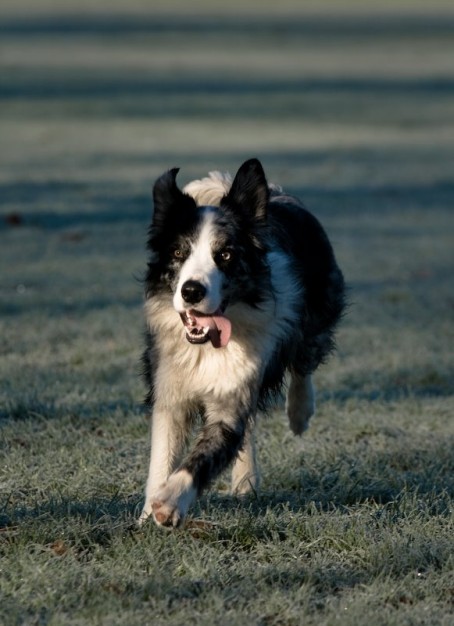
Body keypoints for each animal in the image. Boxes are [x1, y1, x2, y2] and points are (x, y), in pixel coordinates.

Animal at [138, 157, 344, 528]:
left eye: (226, 255)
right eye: (178, 251)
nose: (191, 291)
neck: (206, 345)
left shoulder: (233, 392)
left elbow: (204, 455)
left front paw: (169, 503)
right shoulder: (169, 388)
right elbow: (162, 456)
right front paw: (148, 513)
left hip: (319, 310)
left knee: (304, 362)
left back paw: (299, 414)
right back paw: (245, 481)